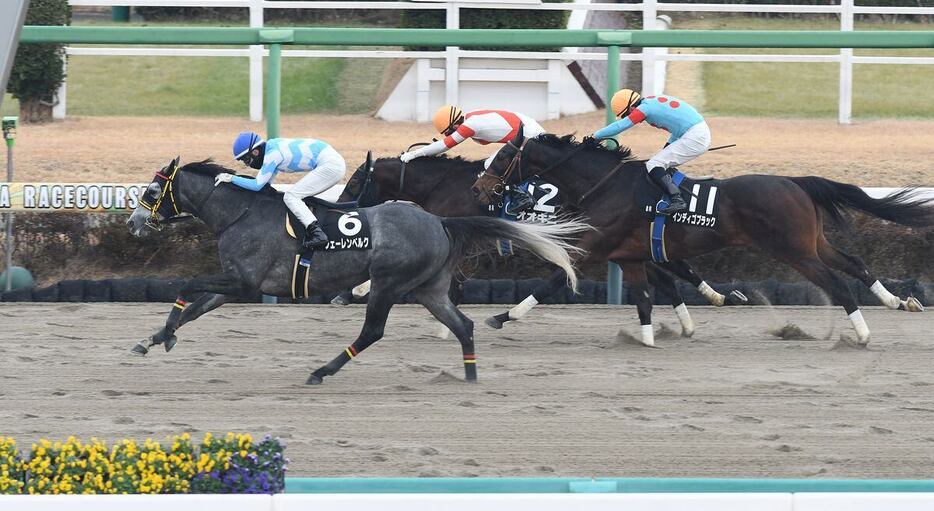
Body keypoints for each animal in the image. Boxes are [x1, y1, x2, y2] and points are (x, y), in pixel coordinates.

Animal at [128, 158, 588, 386]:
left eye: (151, 191)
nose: (133, 224)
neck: (240, 213)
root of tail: (440, 221)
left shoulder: (244, 281)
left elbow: (188, 288)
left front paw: (164, 335)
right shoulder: (235, 283)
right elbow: (196, 308)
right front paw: (151, 340)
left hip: (389, 282)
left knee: (373, 332)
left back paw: (321, 372)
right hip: (429, 288)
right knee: (463, 325)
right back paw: (470, 376)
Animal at [340, 151, 748, 344]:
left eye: (356, 180)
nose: (343, 207)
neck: (447, 185)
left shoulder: (466, 244)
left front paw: (355, 290)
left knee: (666, 272)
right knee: (663, 275)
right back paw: (696, 315)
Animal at [478, 131, 932, 348]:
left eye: (503, 157)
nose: (481, 188)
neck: (606, 185)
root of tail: (794, 181)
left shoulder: (596, 246)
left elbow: (554, 279)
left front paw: (503, 316)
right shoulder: (630, 255)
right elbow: (650, 294)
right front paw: (655, 335)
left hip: (794, 250)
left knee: (837, 282)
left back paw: (863, 334)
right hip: (811, 242)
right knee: (854, 263)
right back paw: (898, 301)